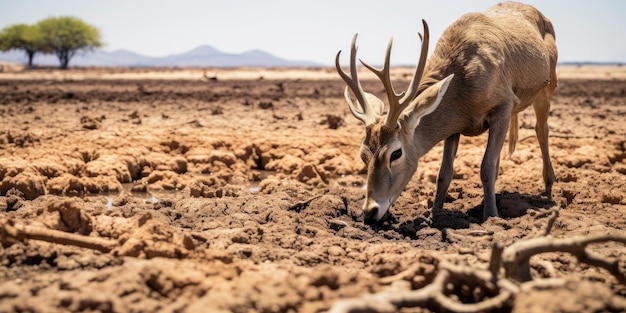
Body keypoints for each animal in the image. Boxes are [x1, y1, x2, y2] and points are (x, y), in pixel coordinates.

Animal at [336, 1, 556, 222]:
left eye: (396, 153)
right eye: (363, 155)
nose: (369, 211)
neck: (463, 82)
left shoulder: (504, 104)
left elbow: (486, 167)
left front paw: (491, 216)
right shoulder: (454, 126)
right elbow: (444, 173)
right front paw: (436, 211)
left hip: (546, 88)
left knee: (541, 130)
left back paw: (548, 187)